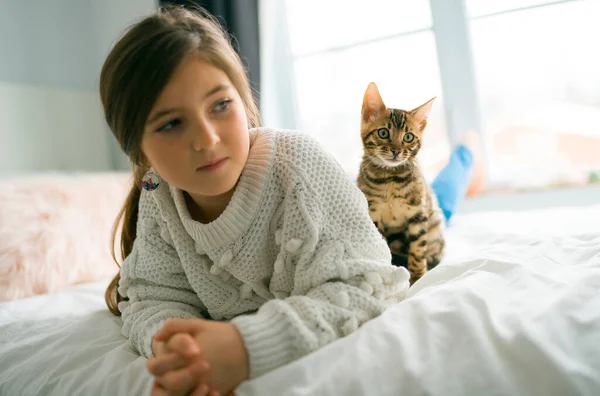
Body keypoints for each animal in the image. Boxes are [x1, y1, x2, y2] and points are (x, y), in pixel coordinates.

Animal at [356, 83, 446, 284]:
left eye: (408, 137)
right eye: (383, 133)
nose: (396, 151)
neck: (390, 179)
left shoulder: (418, 213)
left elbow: (418, 249)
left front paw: (417, 277)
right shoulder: (373, 214)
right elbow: (383, 247)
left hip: (435, 221)